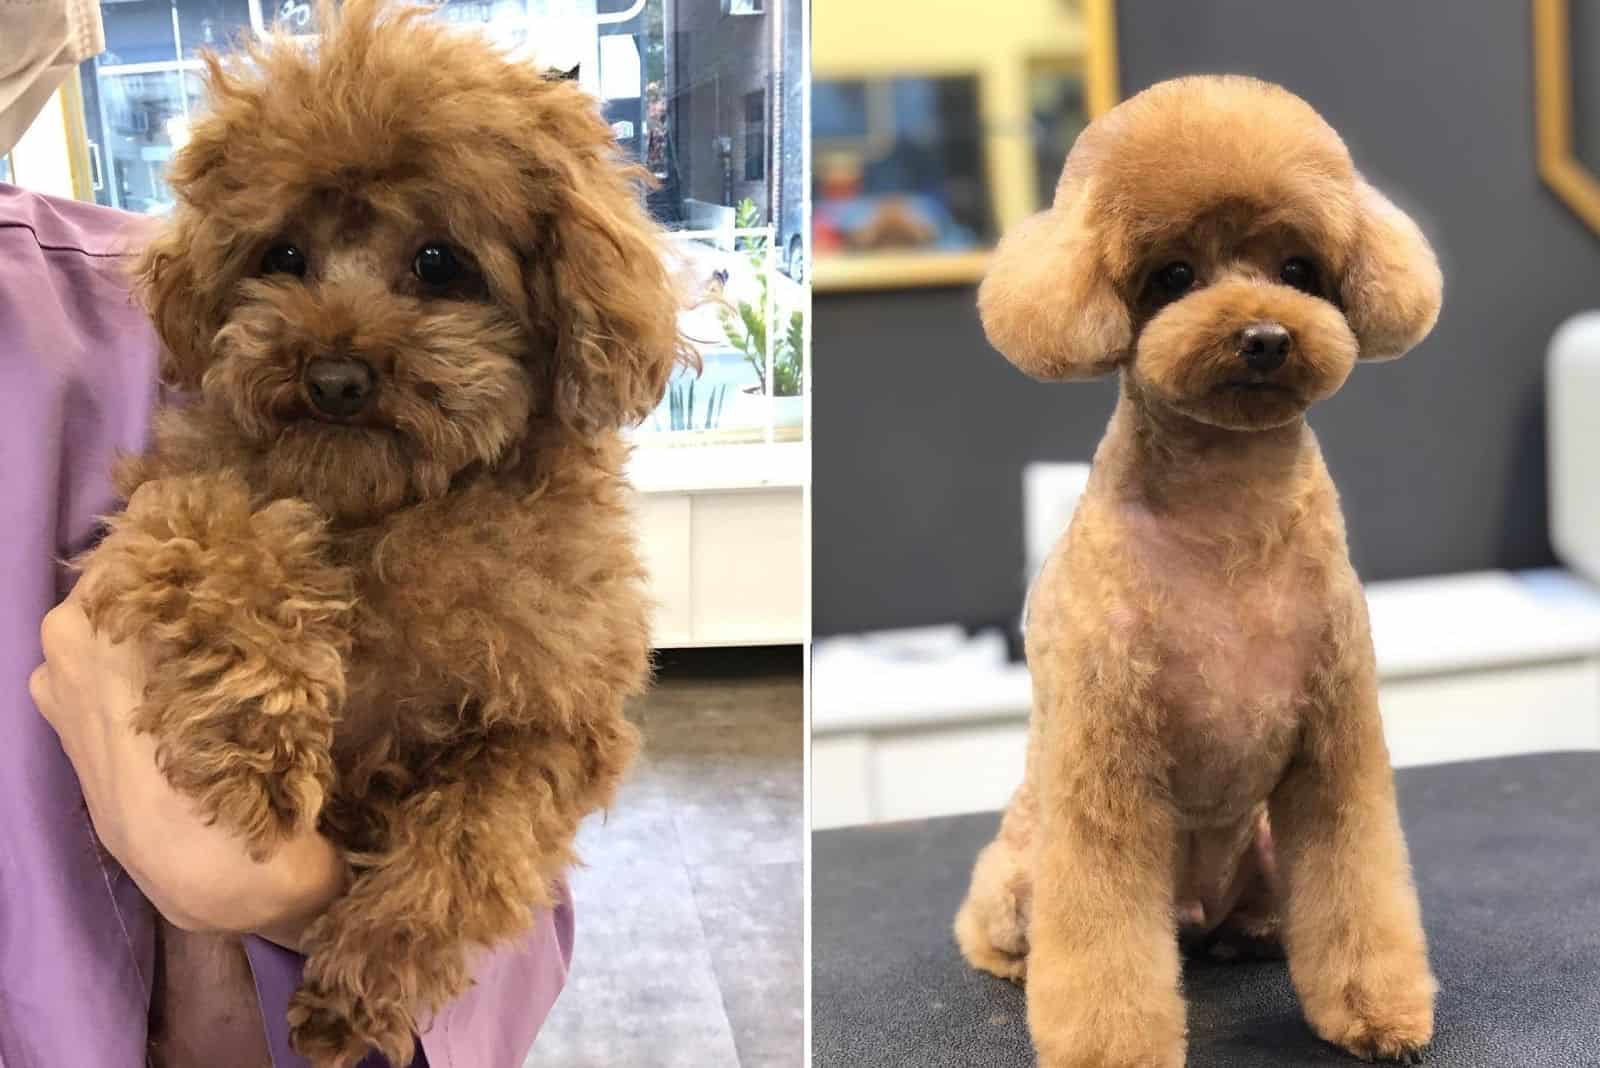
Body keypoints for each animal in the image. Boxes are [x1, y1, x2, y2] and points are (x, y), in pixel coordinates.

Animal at [73, 4, 688, 1061]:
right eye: (281, 257)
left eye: (440, 262)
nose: (333, 377)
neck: (388, 509)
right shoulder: (170, 502)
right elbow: (224, 538)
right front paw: (257, 740)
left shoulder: (556, 722)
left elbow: (476, 840)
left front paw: (361, 987)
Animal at [953, 77, 1446, 1068]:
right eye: (1173, 275)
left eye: (1298, 266)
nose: (1263, 337)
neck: (1230, 518)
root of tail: (1194, 915)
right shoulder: (1106, 760)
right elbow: (1101, 940)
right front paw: (1111, 1048)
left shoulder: (1334, 743)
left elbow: (1358, 886)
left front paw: (1378, 1015)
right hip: (1024, 869)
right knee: (1001, 926)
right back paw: (1018, 964)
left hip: (1262, 846)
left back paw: (1250, 933)